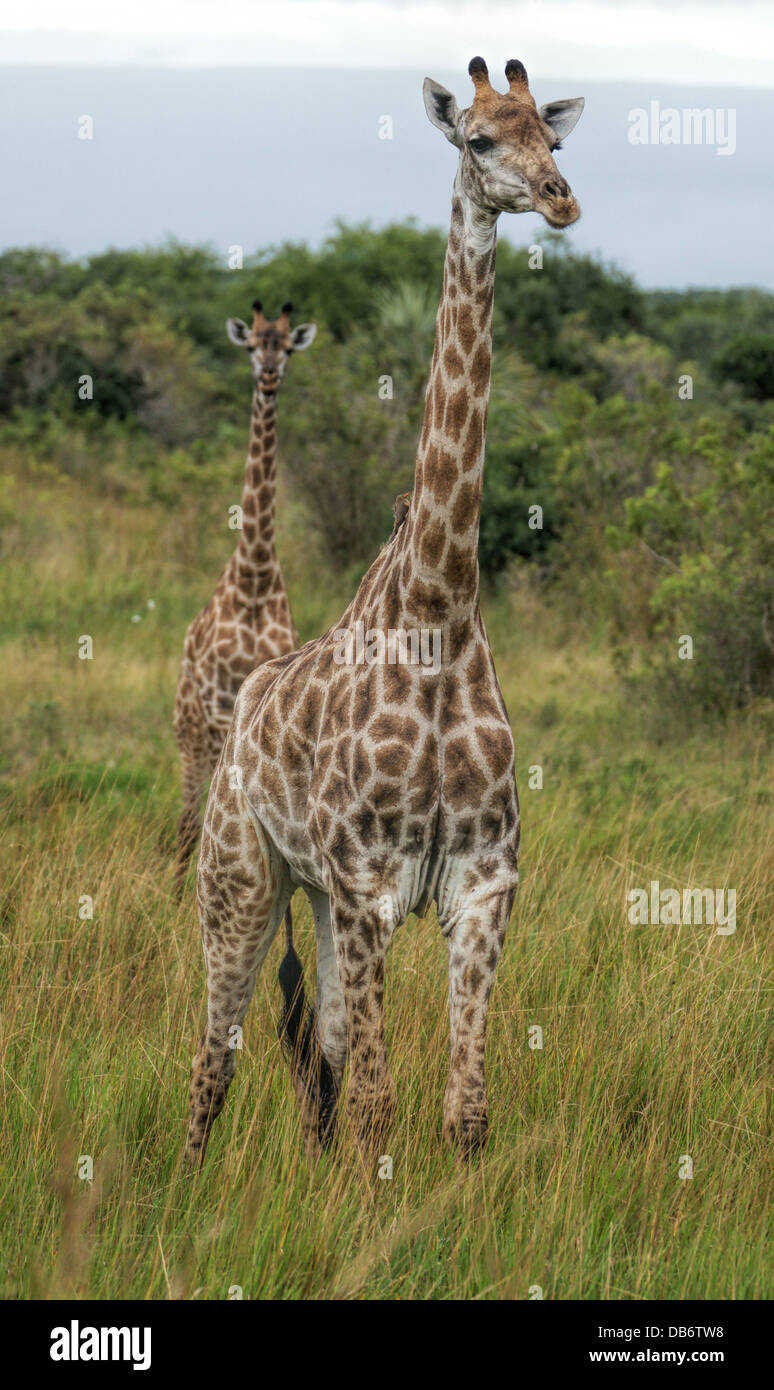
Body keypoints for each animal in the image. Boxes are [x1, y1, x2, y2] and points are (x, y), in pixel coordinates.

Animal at [185, 57, 584, 1165]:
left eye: (554, 138)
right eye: (479, 141)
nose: (560, 201)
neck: (441, 610)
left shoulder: (480, 889)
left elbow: (463, 1114)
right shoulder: (369, 885)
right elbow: (378, 1107)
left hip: (315, 898)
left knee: (312, 1057)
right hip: (242, 873)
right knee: (217, 1053)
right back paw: (179, 1187)